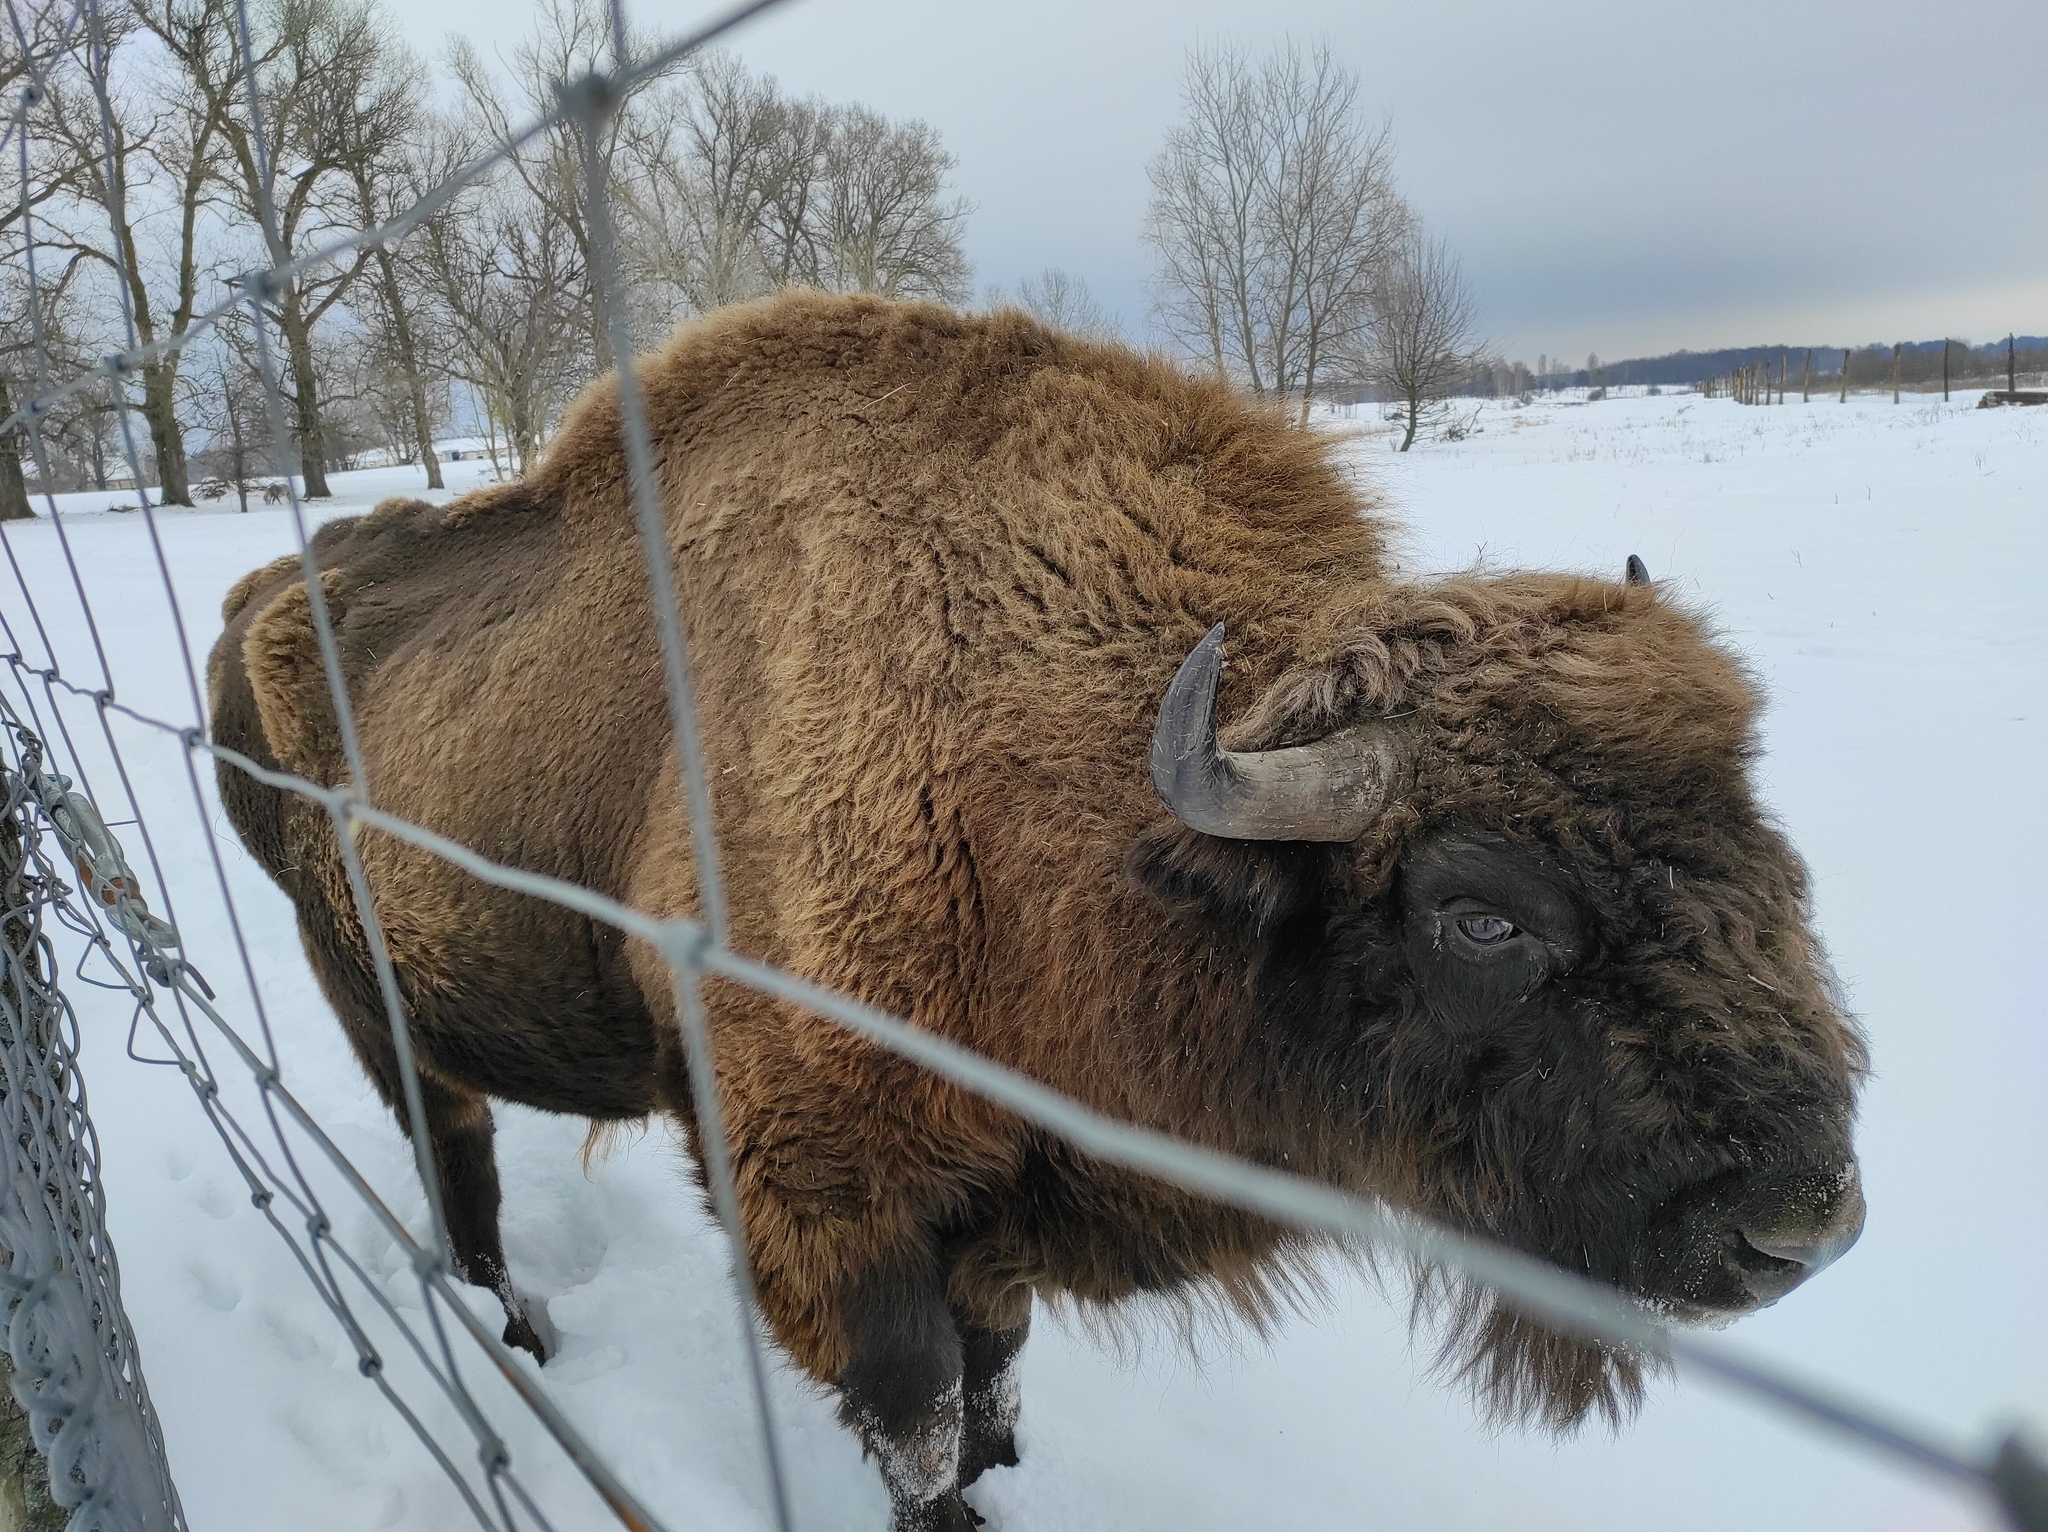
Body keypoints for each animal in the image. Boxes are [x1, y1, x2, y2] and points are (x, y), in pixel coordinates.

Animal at [211, 290, 1875, 1532]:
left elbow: (998, 1373)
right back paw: (517, 1336)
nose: (1804, 1227)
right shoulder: (831, 1201)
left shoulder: (1000, 1201)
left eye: (1763, 842)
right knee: (461, 1175)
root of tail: (252, 604)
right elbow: (920, 1415)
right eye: (1484, 917)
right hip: (373, 1007)